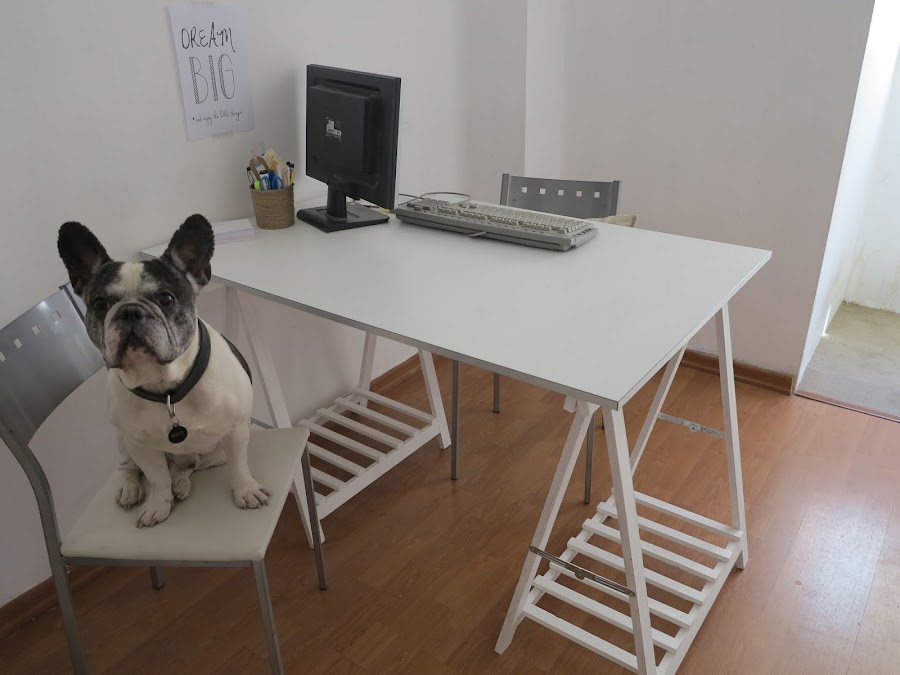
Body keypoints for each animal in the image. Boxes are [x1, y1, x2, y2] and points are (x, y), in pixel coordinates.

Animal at [57, 214, 268, 527]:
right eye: (100, 304)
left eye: (166, 299)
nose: (130, 311)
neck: (166, 388)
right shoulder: (140, 446)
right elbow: (156, 478)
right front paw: (158, 504)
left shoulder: (237, 431)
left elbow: (239, 466)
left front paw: (246, 491)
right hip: (123, 442)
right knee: (130, 468)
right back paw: (130, 488)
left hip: (212, 453)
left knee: (187, 465)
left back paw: (180, 483)